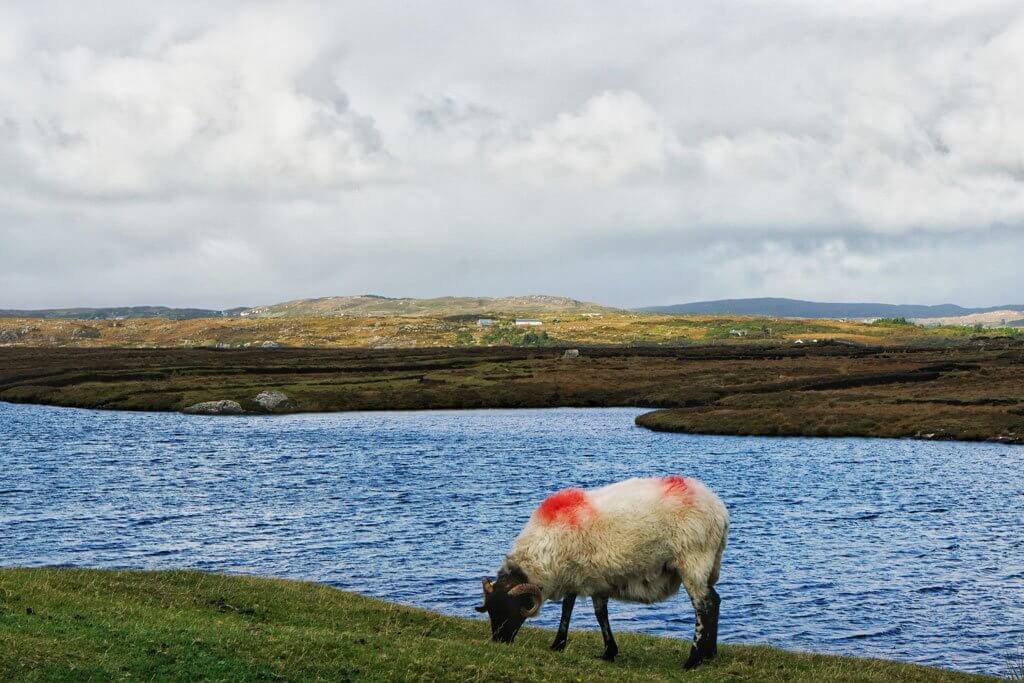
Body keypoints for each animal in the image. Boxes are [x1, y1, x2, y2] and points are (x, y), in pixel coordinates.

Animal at [473, 475, 729, 667]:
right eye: (491, 611)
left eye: (510, 610)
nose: (499, 641)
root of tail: (719, 511)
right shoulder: (591, 578)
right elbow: (591, 613)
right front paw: (605, 651)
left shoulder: (581, 575)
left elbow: (576, 609)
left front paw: (562, 644)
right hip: (707, 564)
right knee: (715, 601)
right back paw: (710, 654)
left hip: (693, 560)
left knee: (703, 606)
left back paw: (693, 660)